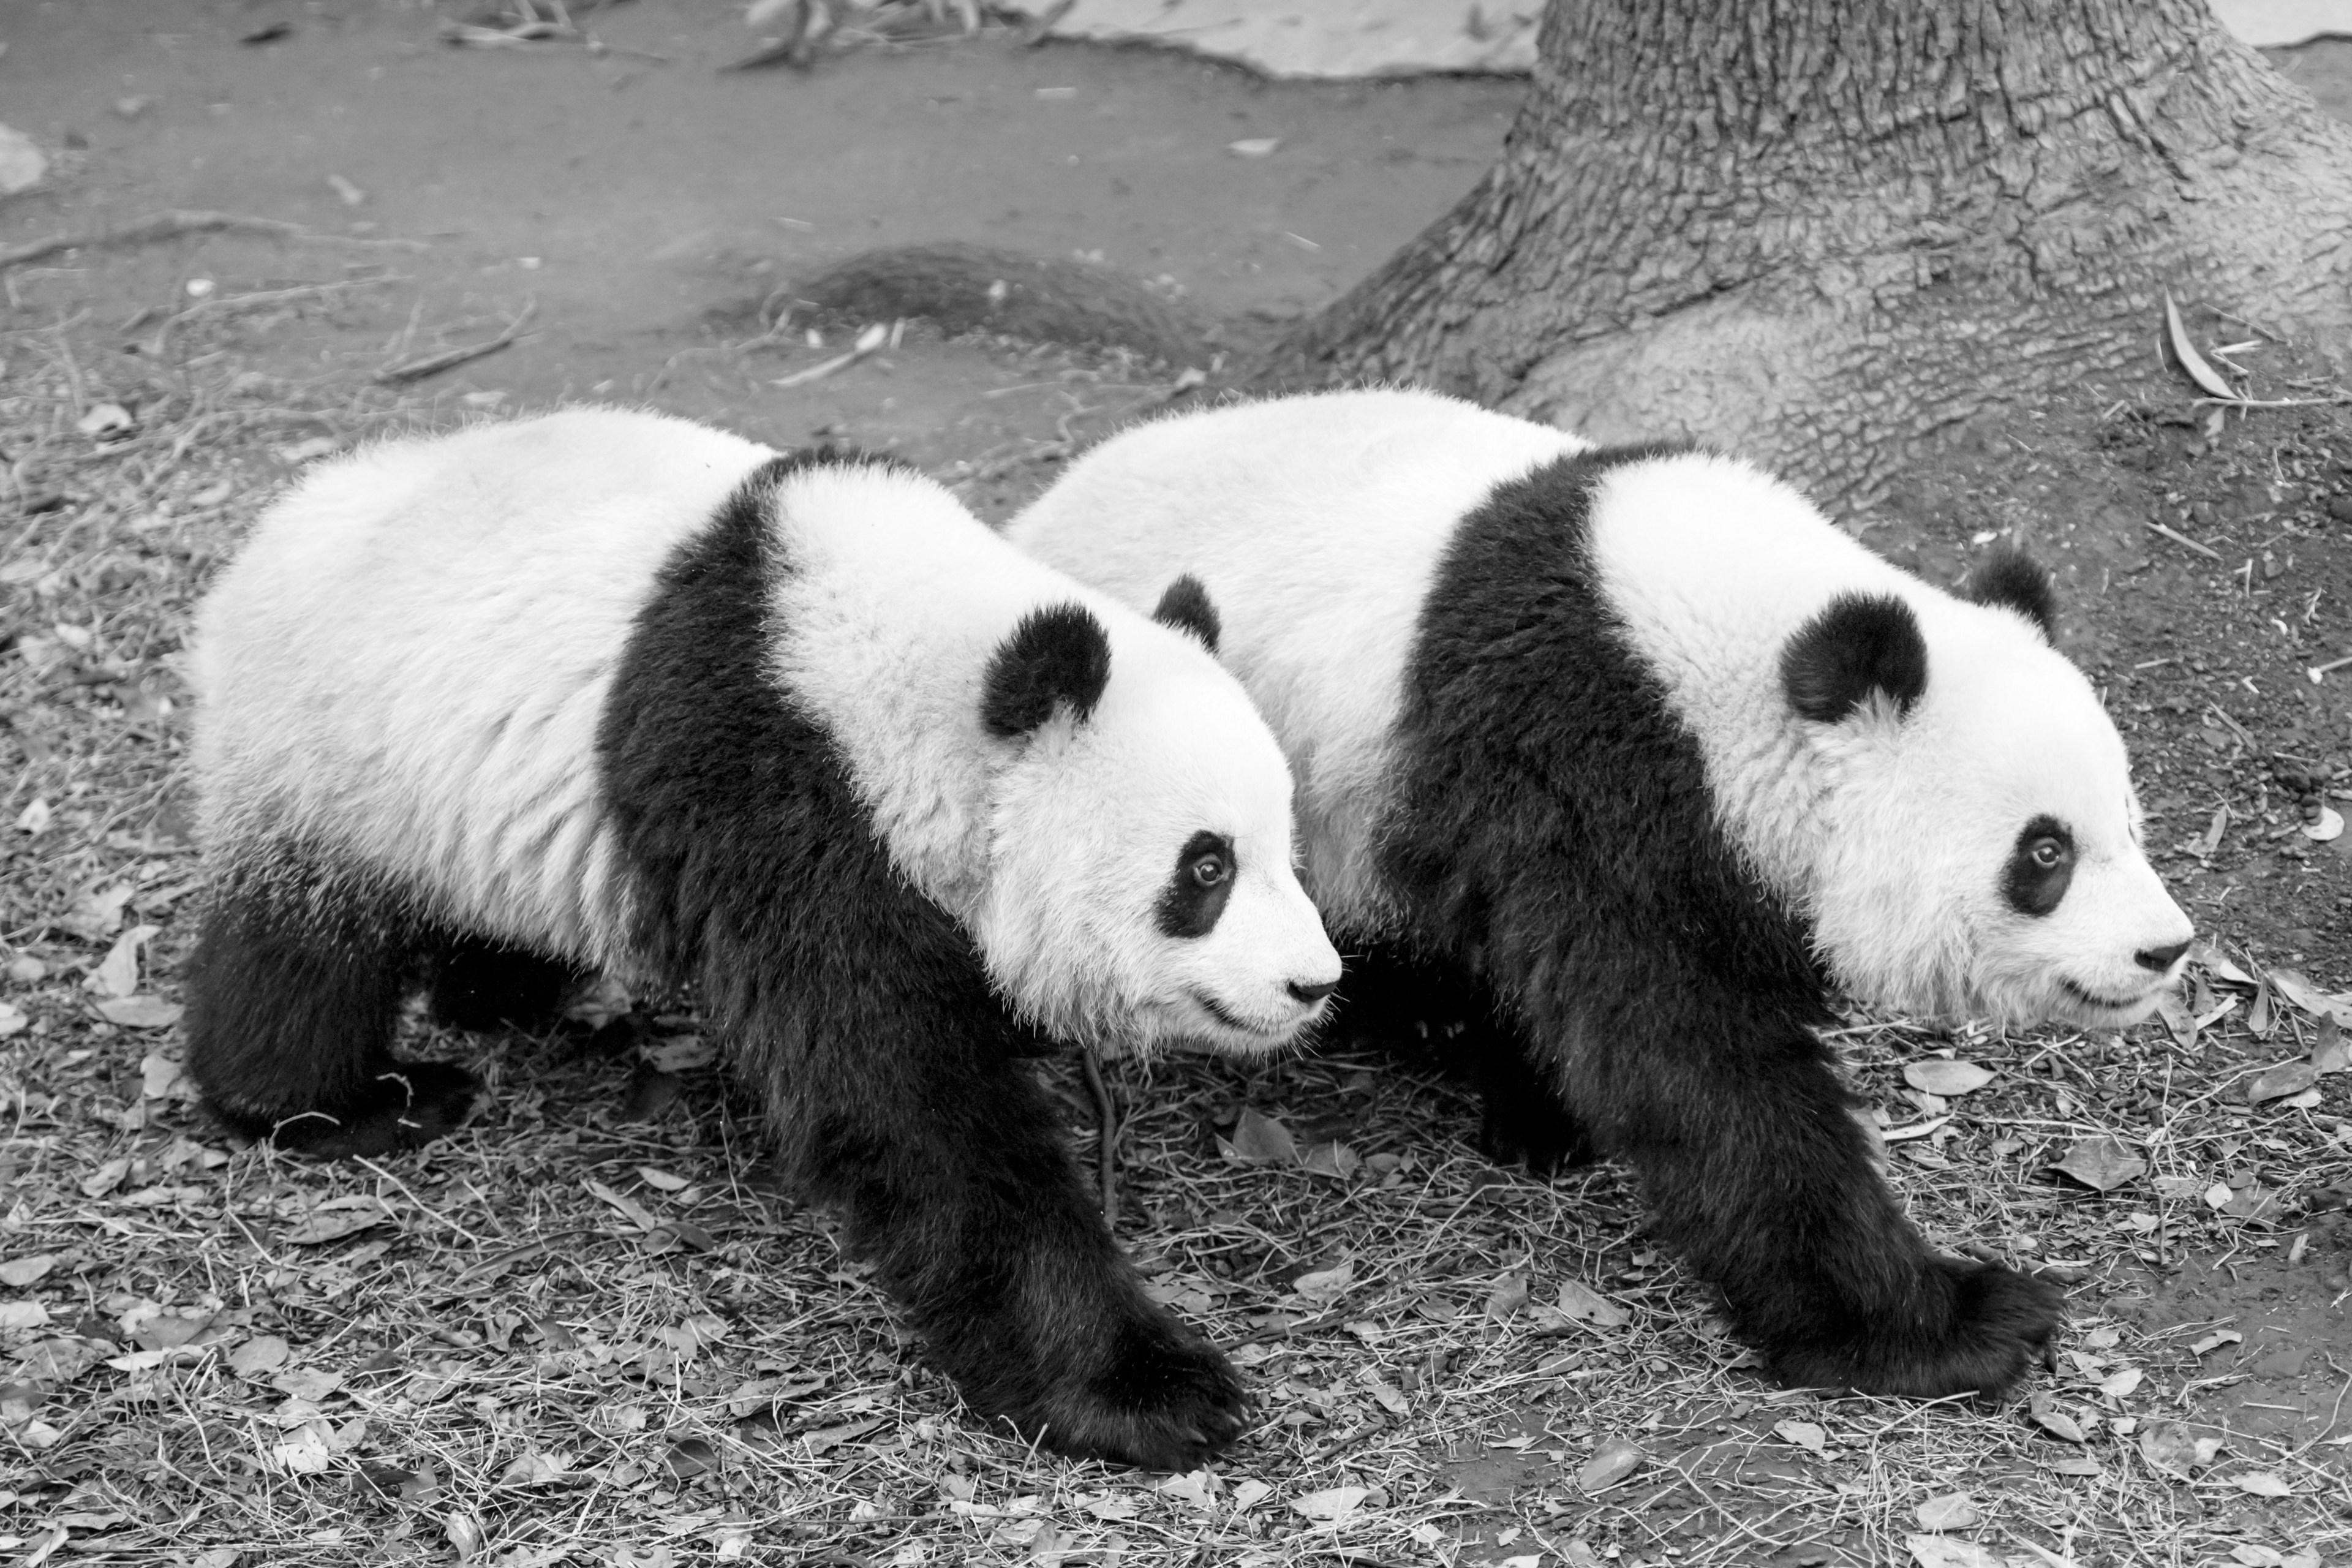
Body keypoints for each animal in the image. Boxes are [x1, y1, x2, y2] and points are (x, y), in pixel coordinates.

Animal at [183, 409, 1345, 1476]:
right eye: (1205, 869)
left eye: (1287, 849)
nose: (1313, 983)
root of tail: (276, 530)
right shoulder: (780, 792)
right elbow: (904, 1105)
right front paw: (1148, 1392)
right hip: (326, 748)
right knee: (298, 950)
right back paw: (349, 1101)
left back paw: (512, 994)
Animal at [1001, 390, 2192, 1401]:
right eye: (2045, 853)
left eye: (2131, 825)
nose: (2164, 950)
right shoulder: (1582, 753)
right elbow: (1686, 1055)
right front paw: (1951, 1324)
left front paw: (1544, 1108)